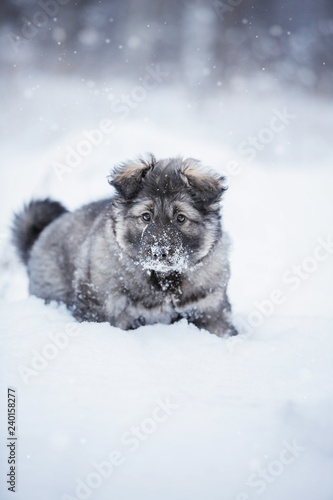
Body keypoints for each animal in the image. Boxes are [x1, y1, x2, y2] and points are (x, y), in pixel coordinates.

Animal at [12, 154, 236, 338]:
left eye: (180, 218)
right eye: (146, 217)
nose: (159, 253)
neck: (163, 281)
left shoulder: (209, 309)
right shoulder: (103, 306)